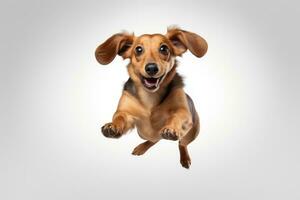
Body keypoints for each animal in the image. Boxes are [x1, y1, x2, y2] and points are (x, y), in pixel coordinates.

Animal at [95, 27, 207, 169]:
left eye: (164, 49)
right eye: (138, 49)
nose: (152, 68)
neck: (150, 96)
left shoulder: (183, 112)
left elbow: (177, 117)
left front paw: (172, 128)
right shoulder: (126, 113)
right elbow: (120, 117)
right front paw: (113, 126)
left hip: (192, 133)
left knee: (181, 143)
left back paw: (184, 158)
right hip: (143, 133)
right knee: (154, 139)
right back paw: (142, 147)